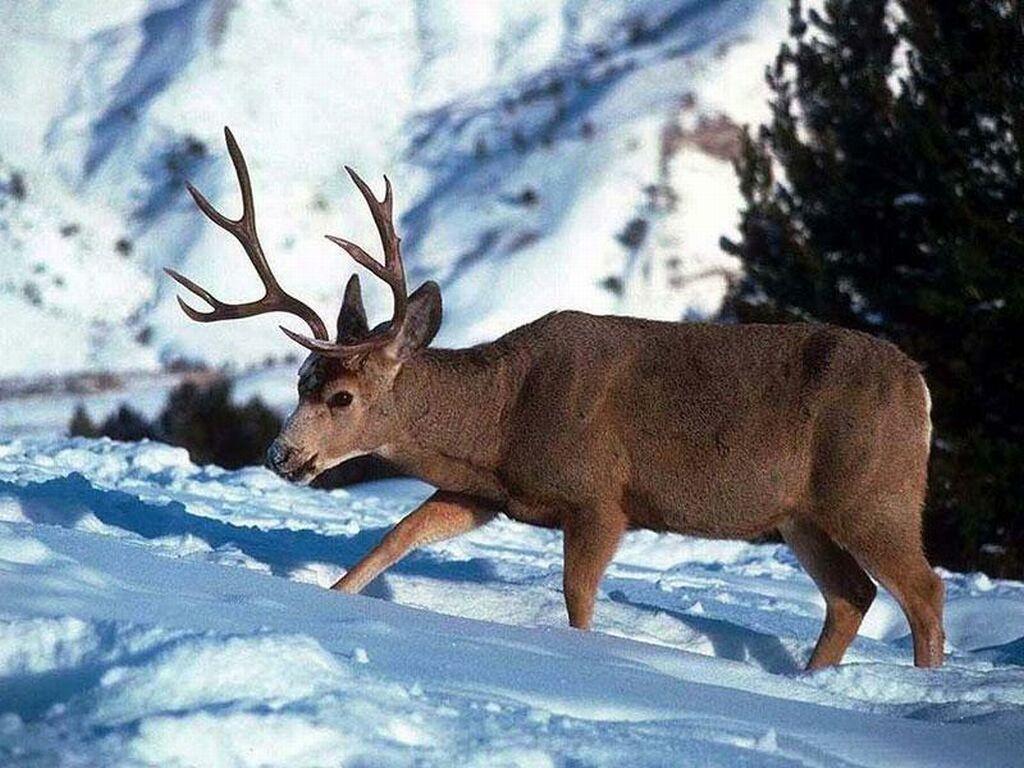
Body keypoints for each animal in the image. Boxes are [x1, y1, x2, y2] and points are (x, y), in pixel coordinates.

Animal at [166, 128, 945, 669]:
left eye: (342, 397)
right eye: (300, 378)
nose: (280, 454)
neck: (501, 419)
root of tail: (920, 383)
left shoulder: (599, 495)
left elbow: (577, 599)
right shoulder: (486, 491)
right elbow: (396, 537)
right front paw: (328, 600)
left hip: (875, 491)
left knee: (923, 593)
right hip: (801, 514)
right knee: (852, 595)